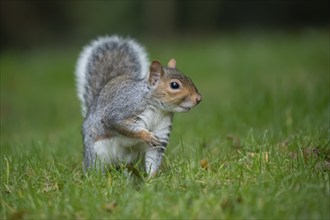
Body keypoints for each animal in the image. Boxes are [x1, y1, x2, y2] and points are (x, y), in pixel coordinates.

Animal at [75, 35, 201, 177]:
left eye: (189, 78)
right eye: (174, 85)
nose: (198, 98)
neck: (158, 109)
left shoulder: (162, 130)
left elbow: (154, 157)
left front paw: (152, 178)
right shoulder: (124, 109)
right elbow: (120, 123)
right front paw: (146, 136)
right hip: (97, 153)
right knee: (95, 168)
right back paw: (97, 177)